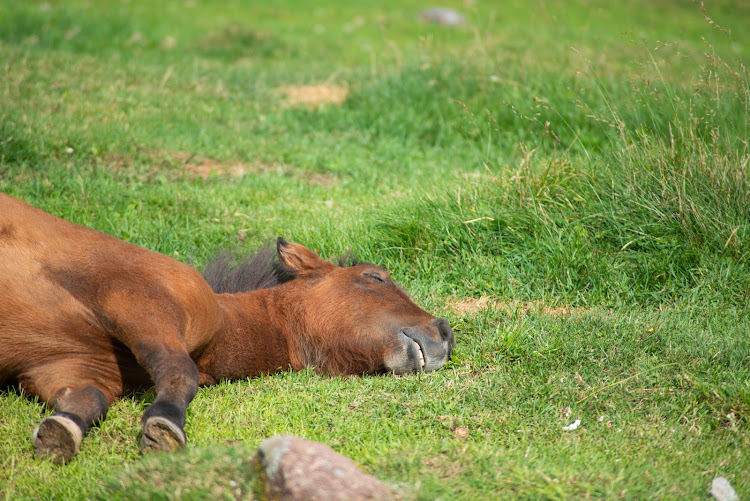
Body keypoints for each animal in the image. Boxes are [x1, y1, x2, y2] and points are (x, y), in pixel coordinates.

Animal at [0, 193, 458, 462]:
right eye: (375, 277)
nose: (445, 332)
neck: (223, 325)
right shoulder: (135, 299)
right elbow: (180, 371)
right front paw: (164, 425)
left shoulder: (63, 368)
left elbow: (90, 398)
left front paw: (61, 432)